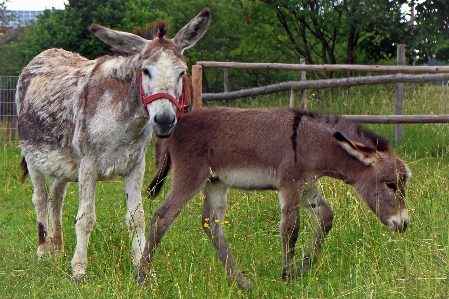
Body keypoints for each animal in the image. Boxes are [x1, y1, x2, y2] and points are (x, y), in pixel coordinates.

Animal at [140, 107, 410, 288]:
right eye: (391, 185)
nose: (404, 223)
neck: (310, 142)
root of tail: (177, 125)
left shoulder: (307, 186)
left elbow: (326, 217)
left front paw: (303, 268)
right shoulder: (290, 184)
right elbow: (291, 228)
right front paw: (287, 277)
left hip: (215, 182)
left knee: (211, 225)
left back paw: (241, 283)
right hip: (191, 176)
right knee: (162, 218)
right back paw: (141, 279)